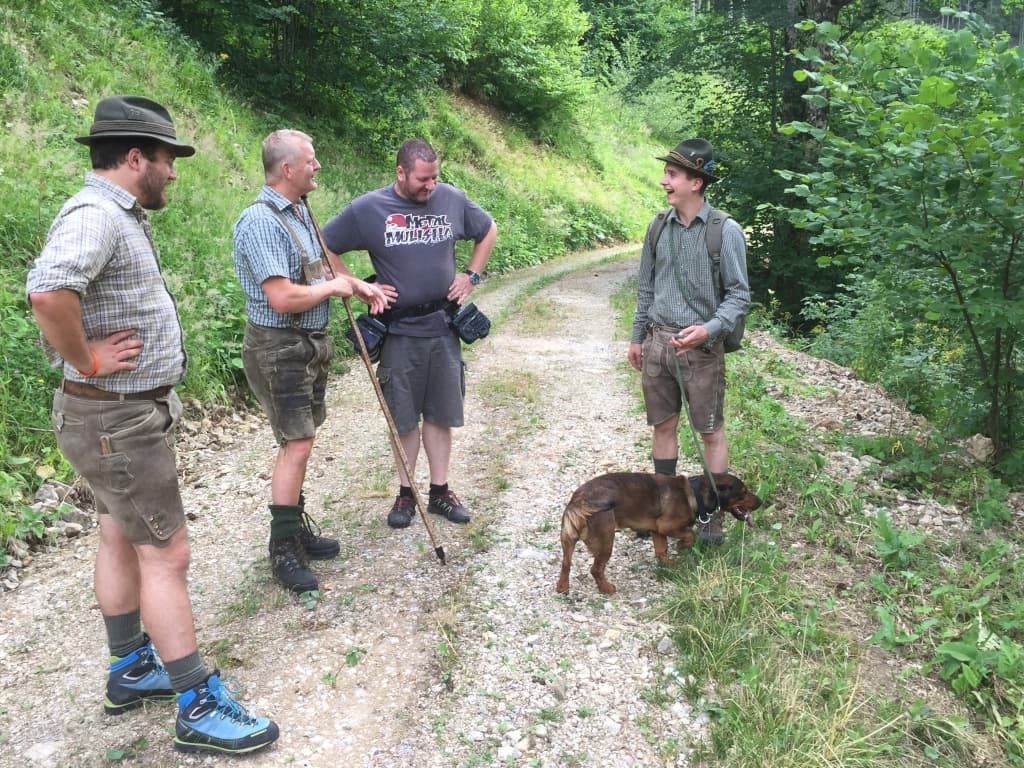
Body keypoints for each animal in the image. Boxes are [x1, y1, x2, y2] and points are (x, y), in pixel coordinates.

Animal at [552, 473, 761, 598]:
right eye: (743, 492)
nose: (761, 502)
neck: (694, 493)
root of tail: (579, 500)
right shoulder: (666, 526)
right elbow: (690, 534)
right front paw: (682, 547)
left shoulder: (657, 532)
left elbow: (662, 551)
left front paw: (668, 565)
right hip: (606, 541)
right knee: (595, 569)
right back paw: (606, 589)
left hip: (567, 539)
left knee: (566, 563)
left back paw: (562, 587)